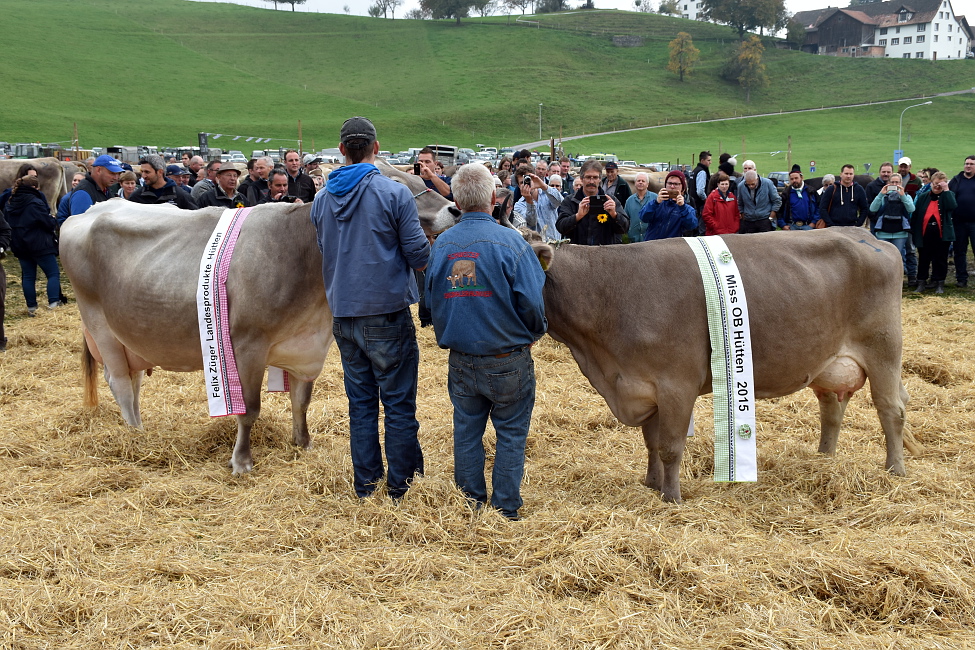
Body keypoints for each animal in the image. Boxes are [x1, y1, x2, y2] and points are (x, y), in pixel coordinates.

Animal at [528, 228, 912, 502]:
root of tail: (867, 235)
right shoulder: (643, 385)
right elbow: (651, 443)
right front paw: (651, 484)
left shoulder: (676, 384)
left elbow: (670, 447)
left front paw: (671, 497)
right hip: (828, 362)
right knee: (832, 409)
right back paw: (823, 460)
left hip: (884, 348)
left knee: (890, 409)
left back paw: (895, 470)